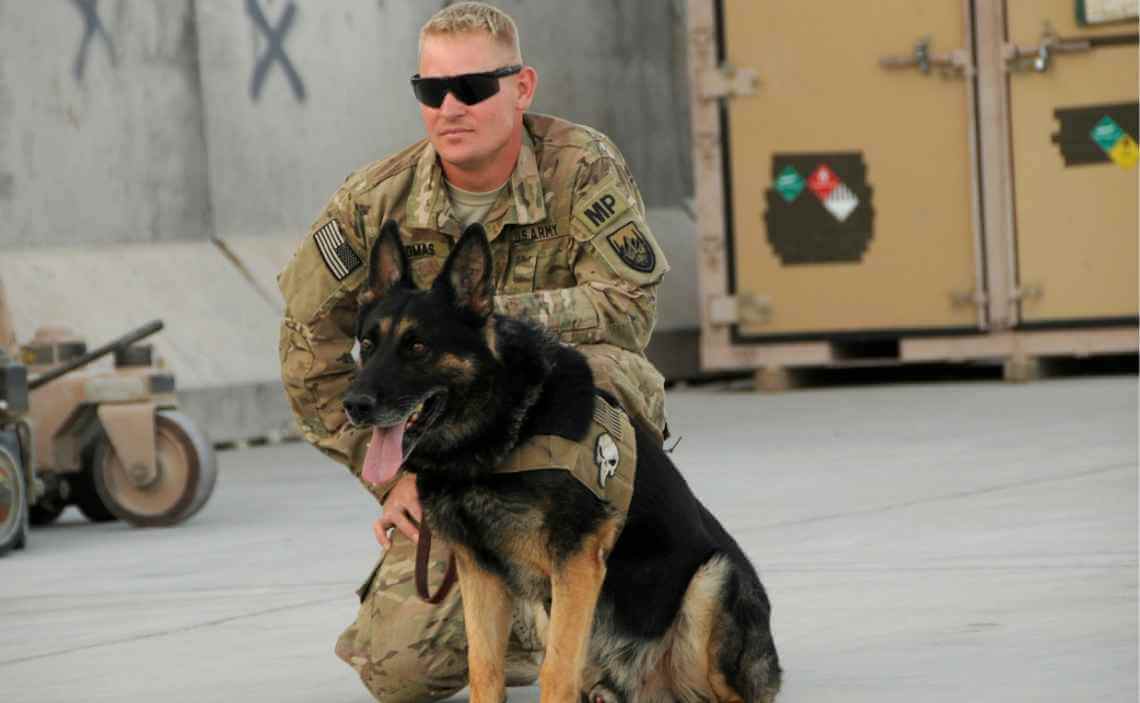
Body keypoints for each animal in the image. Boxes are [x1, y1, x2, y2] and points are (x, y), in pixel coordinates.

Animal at [342, 221, 779, 701]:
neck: (500, 429)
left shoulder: (576, 563)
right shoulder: (481, 572)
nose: (354, 405)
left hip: (711, 581)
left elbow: (555, 670)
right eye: (368, 345)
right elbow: (484, 668)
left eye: (418, 347)